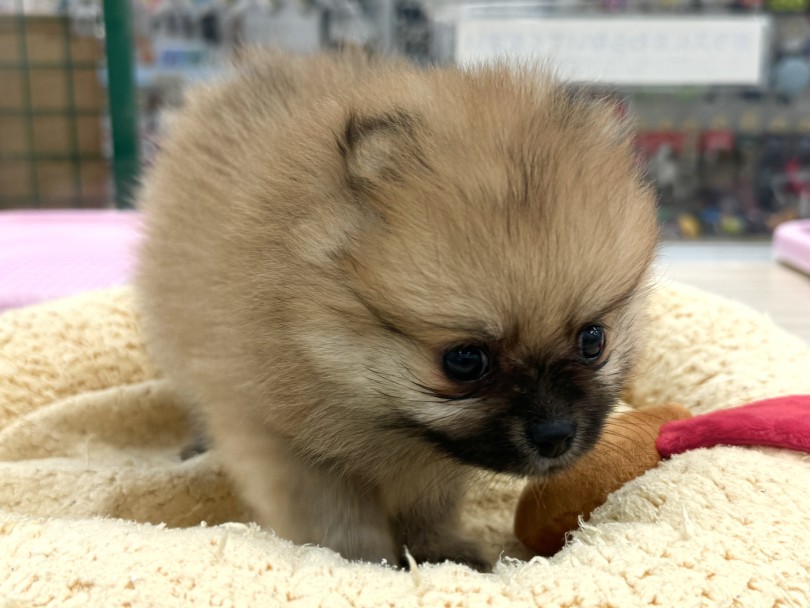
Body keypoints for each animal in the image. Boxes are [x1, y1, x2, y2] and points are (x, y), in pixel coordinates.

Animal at [134, 48, 656, 568]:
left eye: (593, 340)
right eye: (464, 361)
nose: (556, 434)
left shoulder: (436, 464)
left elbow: (427, 508)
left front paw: (441, 552)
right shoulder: (289, 446)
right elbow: (337, 522)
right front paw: (360, 565)